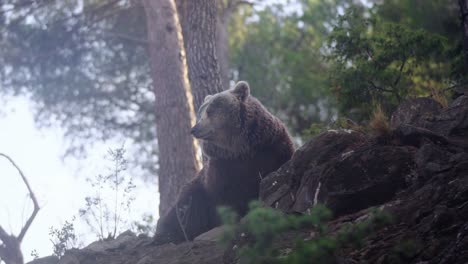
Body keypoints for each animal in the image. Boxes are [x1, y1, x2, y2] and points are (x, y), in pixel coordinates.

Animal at [154, 81, 292, 243]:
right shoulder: (222, 168)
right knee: (181, 210)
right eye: (200, 113)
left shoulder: (271, 147)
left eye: (210, 111)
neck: (239, 149)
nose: (194, 129)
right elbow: (224, 197)